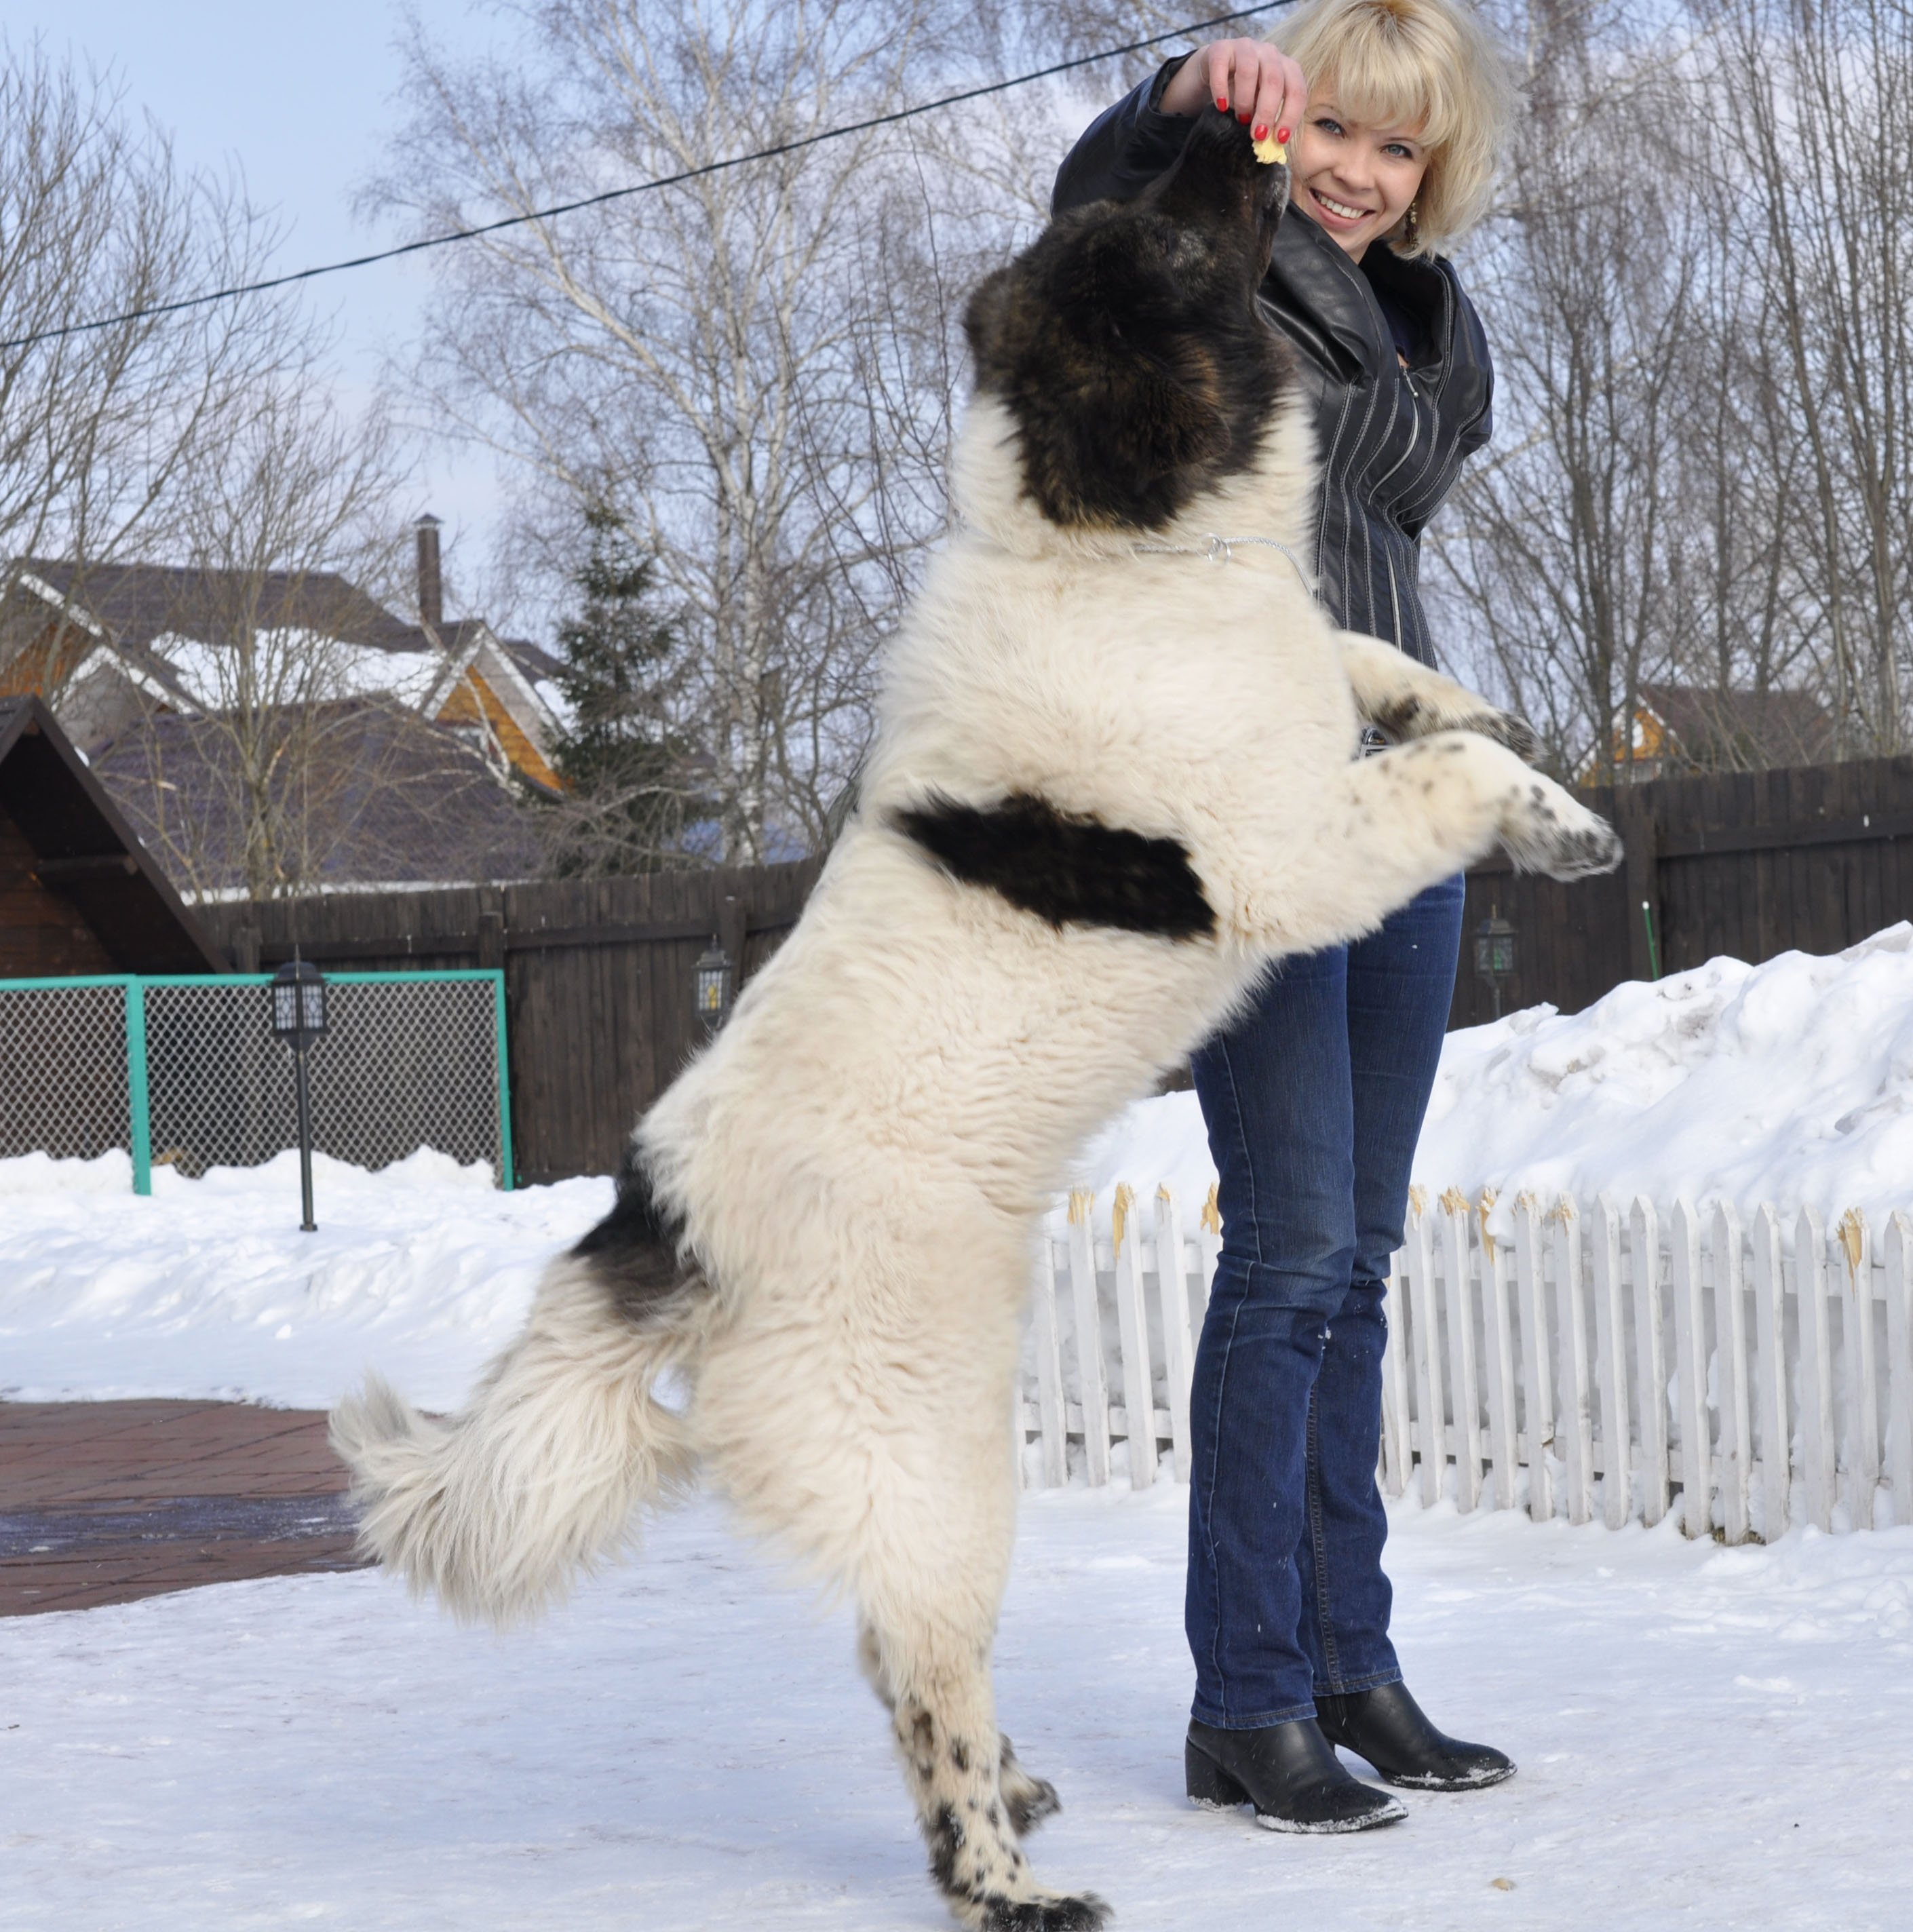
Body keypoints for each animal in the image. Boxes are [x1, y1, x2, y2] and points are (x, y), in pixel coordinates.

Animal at [336, 109, 1623, 1932]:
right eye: (1163, 233)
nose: (1220, 113)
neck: (1104, 542)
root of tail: (666, 1214)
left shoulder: (1306, 693)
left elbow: (1369, 664)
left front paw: (1471, 703)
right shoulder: (1292, 856)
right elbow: (1433, 770)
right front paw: (1557, 815)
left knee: (904, 1658)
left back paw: (1018, 1788)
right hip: (937, 1467)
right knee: (920, 1676)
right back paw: (1007, 1873)